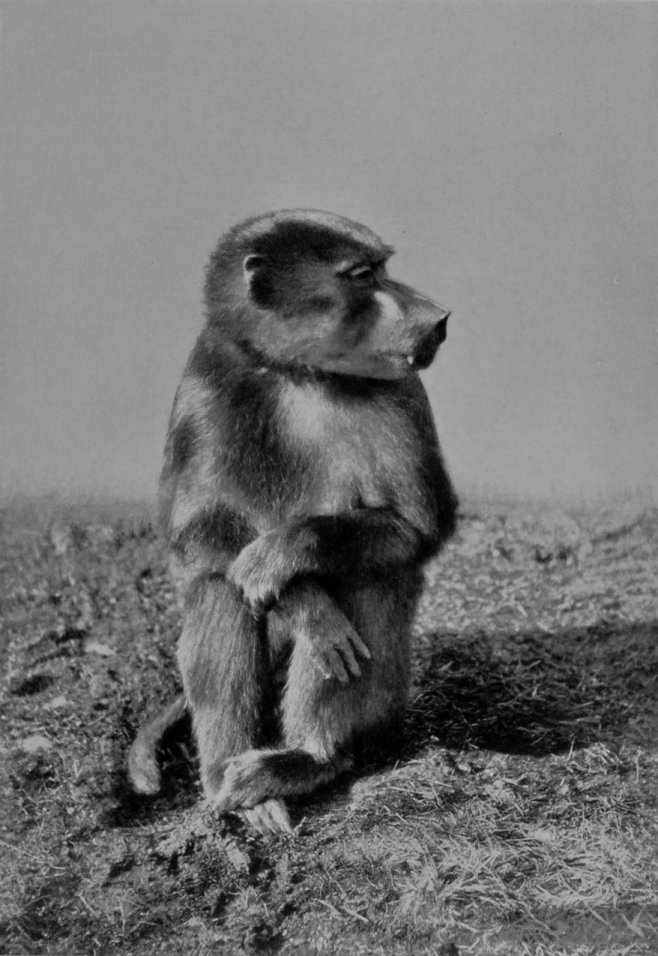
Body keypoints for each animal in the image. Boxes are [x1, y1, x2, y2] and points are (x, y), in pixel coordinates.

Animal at [127, 209, 457, 834]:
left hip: (387, 704)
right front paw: (303, 603)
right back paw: (229, 779)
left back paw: (308, 758)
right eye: (363, 276)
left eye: (382, 268)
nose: (437, 319)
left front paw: (283, 556)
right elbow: (192, 525)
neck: (297, 372)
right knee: (219, 589)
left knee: (363, 573)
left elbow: (416, 525)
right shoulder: (207, 377)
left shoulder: (402, 390)